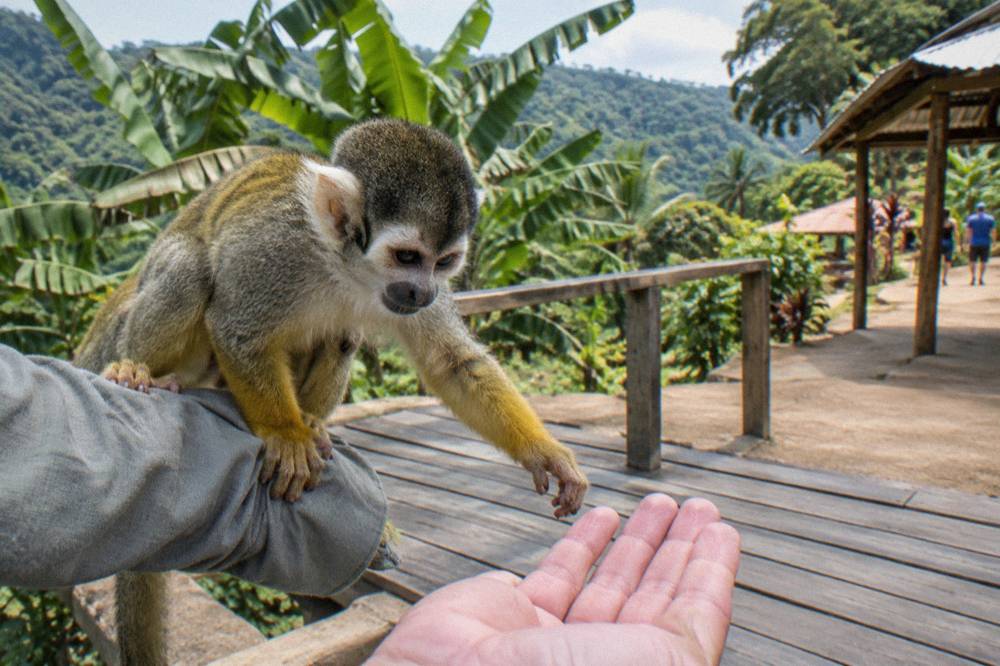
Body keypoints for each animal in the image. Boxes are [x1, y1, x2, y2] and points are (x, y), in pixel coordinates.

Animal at [74, 118, 589, 664]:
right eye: (408, 256)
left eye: (444, 262)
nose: (423, 291)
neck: (347, 267)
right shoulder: (276, 248)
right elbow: (238, 329)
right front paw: (286, 435)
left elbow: (452, 363)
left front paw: (545, 453)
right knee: (191, 268)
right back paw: (138, 370)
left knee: (342, 333)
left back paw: (315, 422)